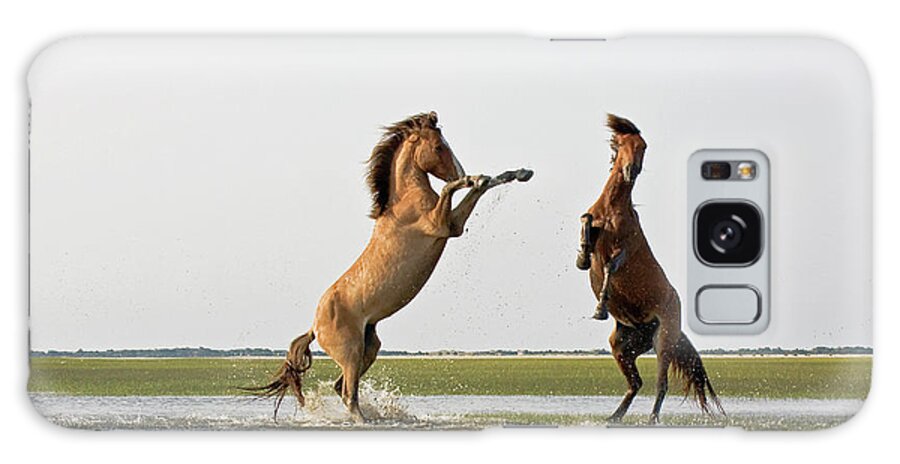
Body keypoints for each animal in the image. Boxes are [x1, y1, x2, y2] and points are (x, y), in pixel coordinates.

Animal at [243, 111, 532, 420]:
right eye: (438, 147)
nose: (458, 172)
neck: (405, 199)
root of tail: (314, 327)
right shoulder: (445, 225)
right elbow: (455, 189)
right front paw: (473, 179)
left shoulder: (451, 225)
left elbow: (488, 184)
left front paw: (519, 173)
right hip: (351, 351)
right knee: (349, 394)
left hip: (369, 346)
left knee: (341, 387)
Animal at [576, 114, 724, 422]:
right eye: (621, 143)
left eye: (643, 146)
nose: (630, 171)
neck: (612, 210)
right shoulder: (592, 222)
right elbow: (585, 221)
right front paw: (582, 258)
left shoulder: (626, 249)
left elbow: (610, 267)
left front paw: (600, 309)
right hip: (623, 345)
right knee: (636, 384)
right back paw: (613, 418)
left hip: (663, 341)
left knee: (660, 383)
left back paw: (650, 419)